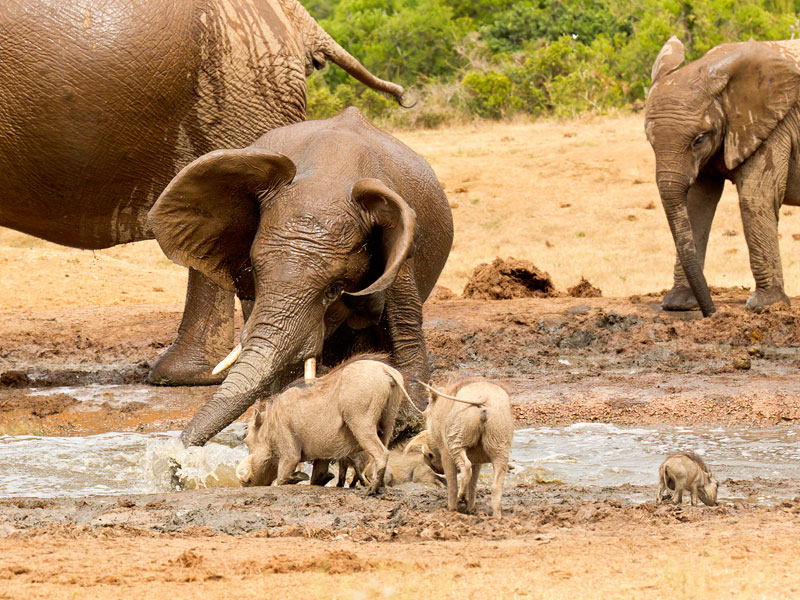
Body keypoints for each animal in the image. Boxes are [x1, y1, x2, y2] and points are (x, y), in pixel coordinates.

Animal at [147, 106, 454, 446]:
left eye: (334, 289)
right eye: (255, 271)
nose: (181, 449)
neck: (329, 174)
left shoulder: (400, 251)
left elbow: (403, 325)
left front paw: (408, 425)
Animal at [644, 35, 800, 316]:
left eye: (699, 139)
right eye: (649, 140)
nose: (713, 313)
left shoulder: (775, 124)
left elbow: (755, 198)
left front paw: (765, 307)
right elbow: (696, 204)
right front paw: (678, 304)